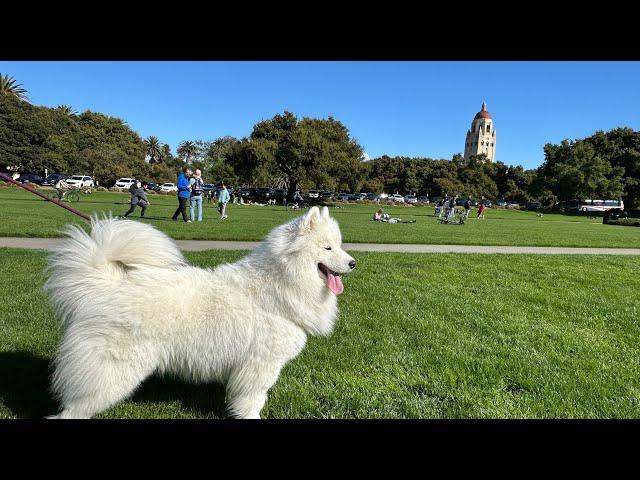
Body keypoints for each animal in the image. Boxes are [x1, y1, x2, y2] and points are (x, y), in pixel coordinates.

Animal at [45, 204, 356, 418]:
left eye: (340, 246)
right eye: (327, 248)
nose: (353, 263)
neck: (278, 286)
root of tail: (109, 283)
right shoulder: (260, 366)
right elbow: (253, 401)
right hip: (114, 372)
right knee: (73, 411)